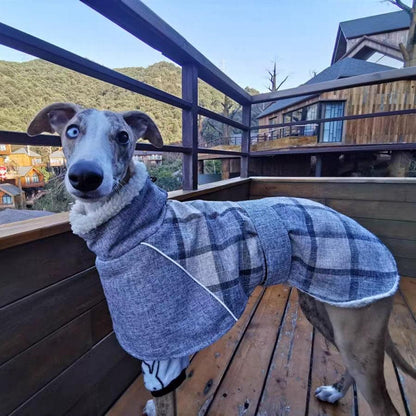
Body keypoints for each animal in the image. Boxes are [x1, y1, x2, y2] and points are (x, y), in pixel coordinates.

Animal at [27, 101, 414, 416]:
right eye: (72, 130)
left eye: (123, 136)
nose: (85, 177)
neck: (141, 226)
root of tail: (375, 241)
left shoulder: (162, 353)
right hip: (325, 308)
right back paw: (334, 392)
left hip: (356, 331)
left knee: (384, 405)